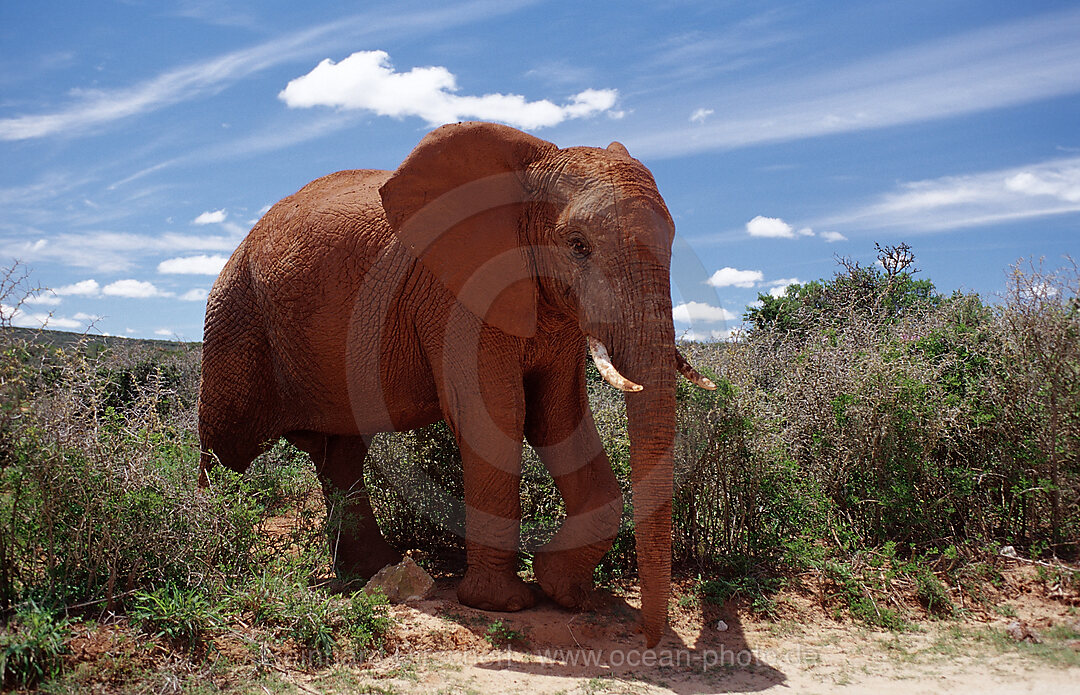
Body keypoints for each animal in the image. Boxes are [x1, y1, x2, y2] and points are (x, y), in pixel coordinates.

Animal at [198, 120, 717, 647]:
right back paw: (209, 549)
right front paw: (502, 604)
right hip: (235, 316)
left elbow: (558, 420)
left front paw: (567, 593)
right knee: (226, 445)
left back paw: (372, 572)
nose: (648, 639)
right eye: (577, 245)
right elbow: (497, 416)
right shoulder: (456, 299)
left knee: (341, 456)